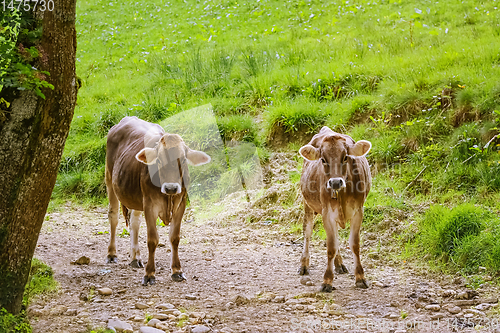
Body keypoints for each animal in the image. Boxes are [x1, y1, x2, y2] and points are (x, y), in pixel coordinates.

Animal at [106, 115, 211, 284]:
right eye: (159, 161)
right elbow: (152, 239)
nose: (171, 188)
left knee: (134, 223)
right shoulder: (149, 204)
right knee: (113, 216)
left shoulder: (181, 204)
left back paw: (135, 257)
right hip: (109, 179)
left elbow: (174, 238)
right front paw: (149, 274)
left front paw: (177, 270)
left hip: (135, 196)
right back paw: (111, 254)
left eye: (183, 160)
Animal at [296, 126, 372, 292]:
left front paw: (360, 278)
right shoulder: (327, 213)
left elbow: (354, 244)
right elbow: (331, 246)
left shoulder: (358, 211)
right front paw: (327, 281)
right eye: (323, 160)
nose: (336, 182)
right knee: (307, 232)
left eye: (345, 157)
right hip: (307, 204)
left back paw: (339, 264)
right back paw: (304, 265)